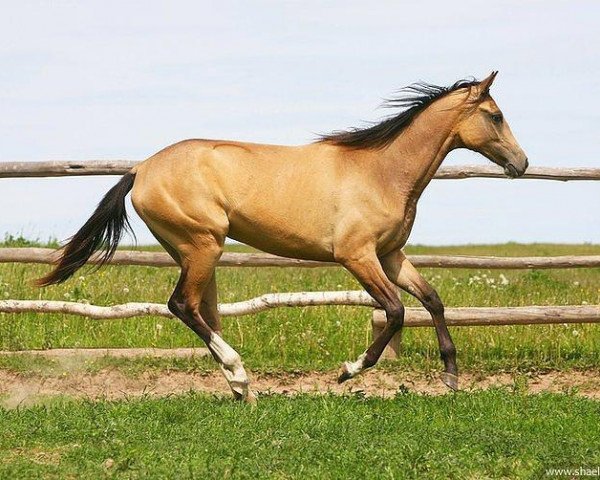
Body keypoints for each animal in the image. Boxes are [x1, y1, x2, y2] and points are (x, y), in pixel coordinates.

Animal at [37, 71, 528, 402]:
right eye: (496, 115)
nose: (521, 163)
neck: (381, 171)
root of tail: (141, 169)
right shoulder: (357, 256)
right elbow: (395, 311)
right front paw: (347, 371)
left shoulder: (390, 255)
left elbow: (433, 301)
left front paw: (451, 376)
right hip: (202, 246)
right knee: (182, 305)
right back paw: (239, 375)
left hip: (194, 252)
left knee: (203, 311)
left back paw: (241, 390)